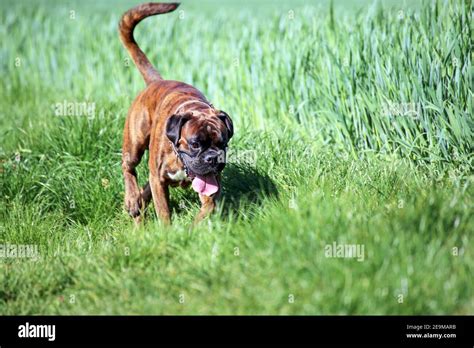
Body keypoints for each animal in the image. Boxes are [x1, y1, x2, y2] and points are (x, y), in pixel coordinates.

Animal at [118, 2, 233, 224]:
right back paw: (132, 198)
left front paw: (192, 230)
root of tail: (156, 82)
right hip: (135, 143)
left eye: (222, 143)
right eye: (195, 144)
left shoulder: (210, 187)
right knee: (128, 167)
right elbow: (164, 213)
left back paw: (138, 203)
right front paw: (168, 231)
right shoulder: (159, 180)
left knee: (145, 190)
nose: (212, 158)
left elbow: (206, 208)